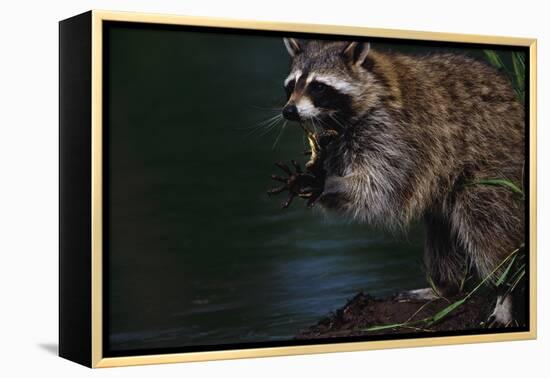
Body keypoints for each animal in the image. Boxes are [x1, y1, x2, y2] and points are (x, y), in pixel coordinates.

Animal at [280, 39, 528, 324]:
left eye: (318, 86)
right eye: (291, 85)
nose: (289, 111)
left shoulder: (397, 132)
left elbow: (381, 187)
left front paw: (329, 183)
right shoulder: (339, 140)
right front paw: (315, 177)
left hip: (494, 166)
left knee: (485, 223)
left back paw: (505, 290)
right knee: (440, 229)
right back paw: (445, 286)